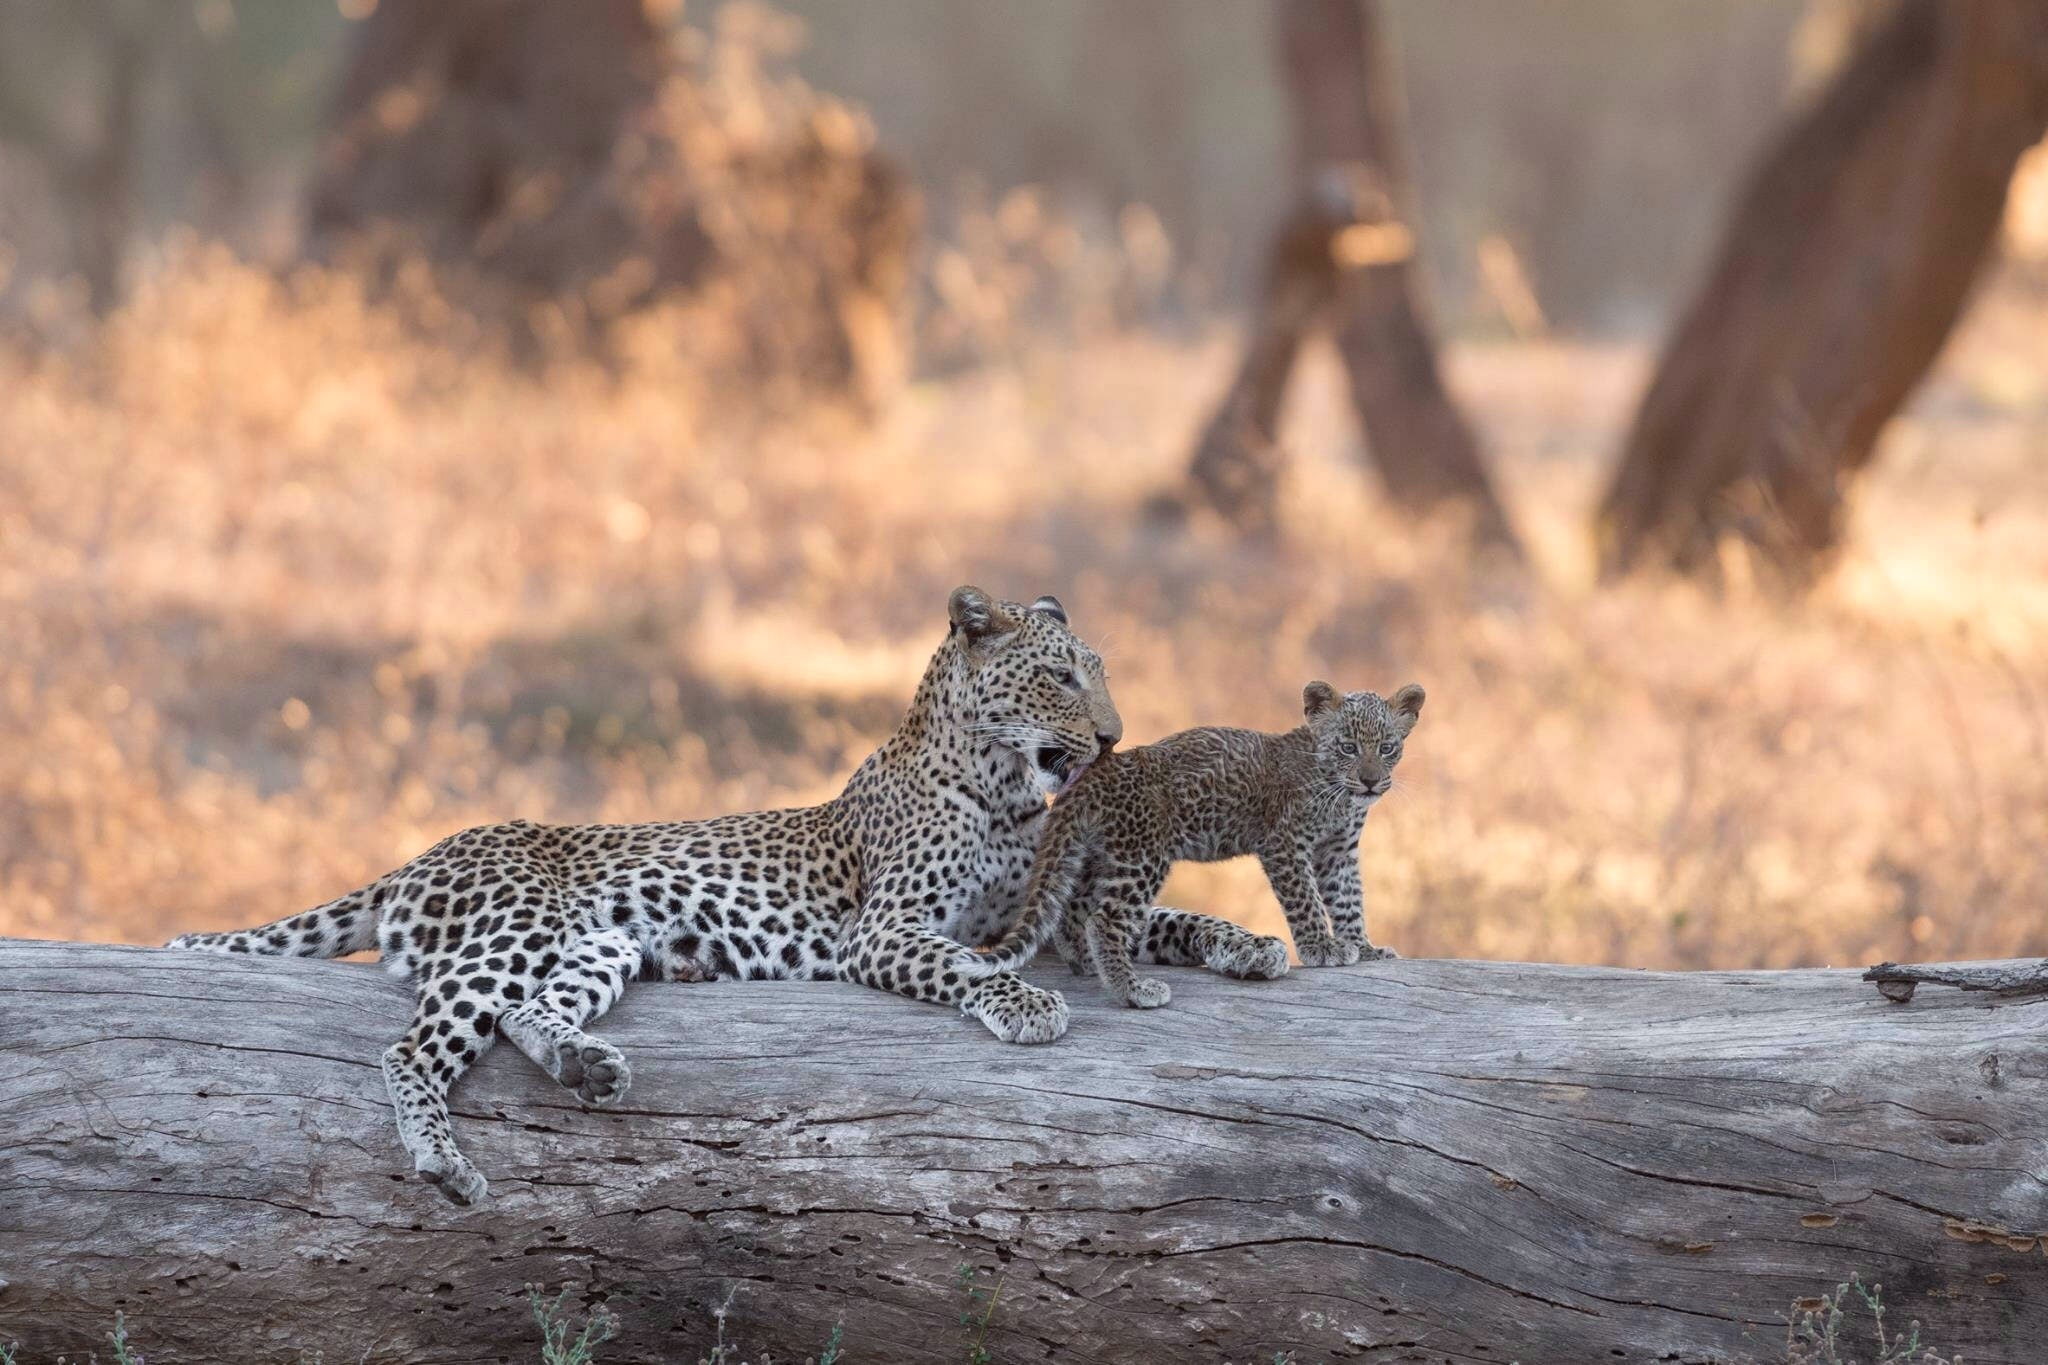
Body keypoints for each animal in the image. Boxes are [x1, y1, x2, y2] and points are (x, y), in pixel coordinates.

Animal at [166, 585, 1122, 1205]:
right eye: (1062, 678)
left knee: (523, 1013)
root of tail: (418, 855)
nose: (1115, 737)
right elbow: (962, 960)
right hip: (514, 925)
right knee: (414, 1049)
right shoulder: (882, 931)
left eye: (1098, 674)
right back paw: (444, 1163)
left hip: (602, 940)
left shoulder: (1028, 907)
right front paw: (1026, 1002)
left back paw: (587, 1064)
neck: (1003, 788)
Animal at [975, 679, 1424, 1009]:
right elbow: (1307, 901)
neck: (1341, 795)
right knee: (1104, 920)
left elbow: (1349, 901)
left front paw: (1363, 947)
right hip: (1142, 855)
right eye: (1348, 747)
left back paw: (1089, 965)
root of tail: (1098, 771)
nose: (1370, 781)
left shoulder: (1337, 852)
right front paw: (1322, 947)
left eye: (1388, 748)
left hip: (1099, 852)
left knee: (1074, 912)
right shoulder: (1286, 844)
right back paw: (1133, 990)